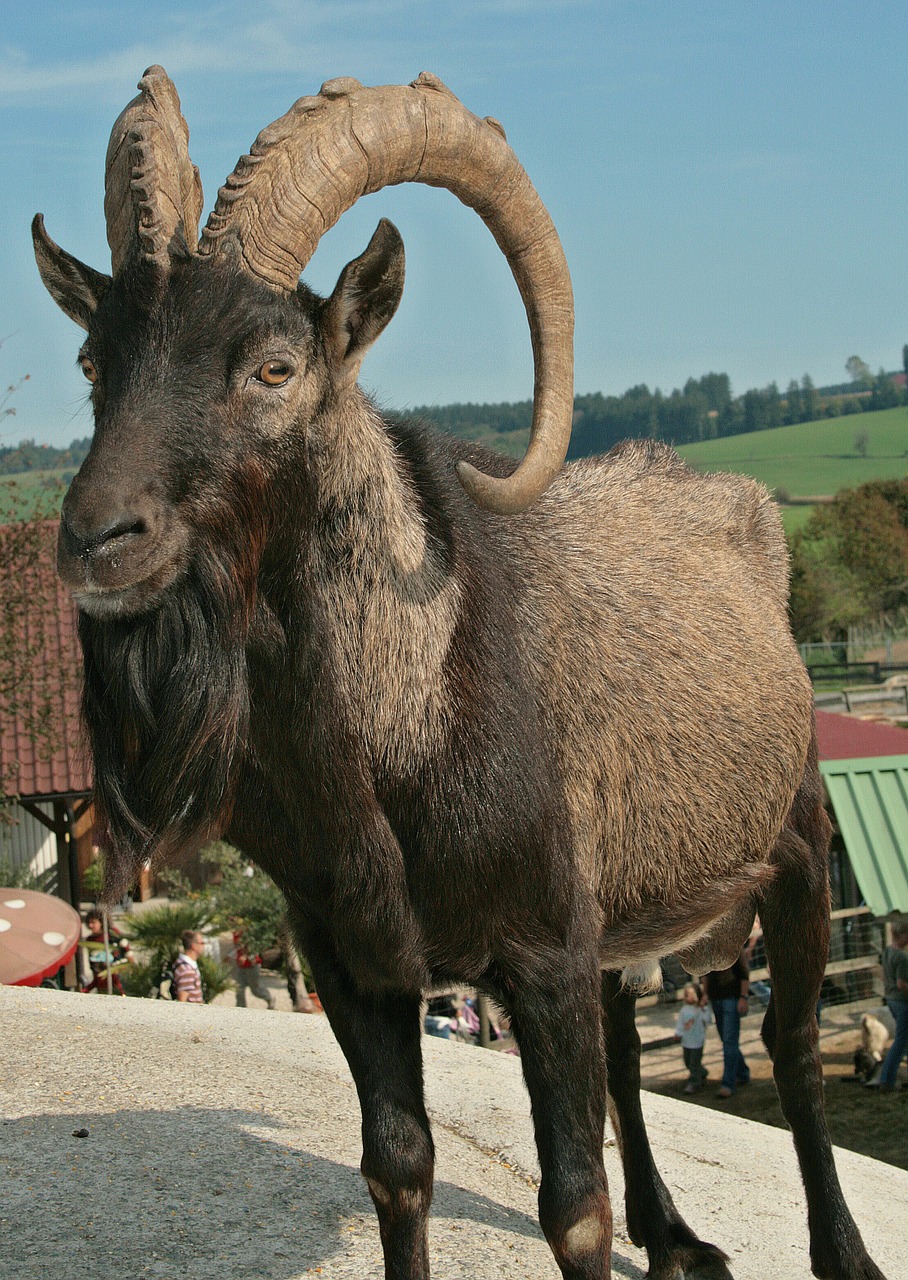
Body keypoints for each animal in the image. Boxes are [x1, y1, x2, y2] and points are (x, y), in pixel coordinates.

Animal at [33, 70, 886, 1280]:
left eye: (274, 367)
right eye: (94, 362)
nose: (99, 539)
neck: (398, 728)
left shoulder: (540, 948)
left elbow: (572, 1208)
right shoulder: (355, 959)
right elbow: (398, 1166)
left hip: (796, 841)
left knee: (793, 1040)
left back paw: (839, 1249)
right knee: (628, 1045)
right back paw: (676, 1235)